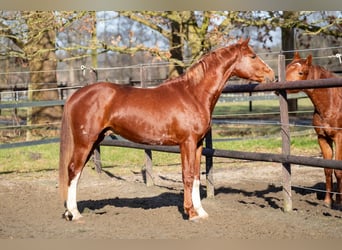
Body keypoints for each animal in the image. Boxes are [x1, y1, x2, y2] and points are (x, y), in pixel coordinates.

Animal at [58, 37, 276, 221]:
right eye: (252, 56)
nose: (272, 75)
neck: (193, 94)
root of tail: (76, 95)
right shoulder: (187, 143)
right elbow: (187, 175)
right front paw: (190, 213)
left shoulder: (198, 144)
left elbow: (196, 177)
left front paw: (201, 211)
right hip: (85, 141)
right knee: (73, 170)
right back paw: (74, 214)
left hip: (94, 141)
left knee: (76, 173)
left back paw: (71, 211)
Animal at [286, 52, 342, 209]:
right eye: (286, 69)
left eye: (301, 72)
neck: (332, 103)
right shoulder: (323, 138)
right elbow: (327, 169)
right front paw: (328, 201)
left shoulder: (339, 138)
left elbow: (338, 170)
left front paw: (339, 202)